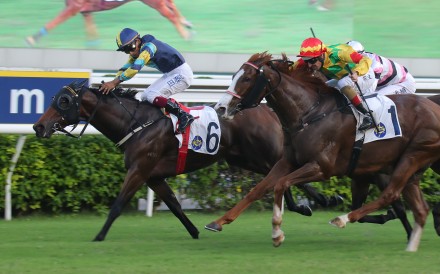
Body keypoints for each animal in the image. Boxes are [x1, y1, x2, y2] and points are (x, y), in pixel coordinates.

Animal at [24, 0, 193, 46]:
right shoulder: (86, 11)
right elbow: (91, 29)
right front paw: (93, 44)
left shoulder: (74, 7)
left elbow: (53, 23)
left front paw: (32, 38)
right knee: (171, 5)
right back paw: (187, 23)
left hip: (154, 2)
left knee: (170, 14)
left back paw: (185, 34)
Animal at [206, 52, 440, 252]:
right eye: (234, 76)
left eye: (246, 79)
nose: (220, 108)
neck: (309, 113)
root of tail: (434, 106)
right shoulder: (287, 161)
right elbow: (258, 189)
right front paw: (218, 222)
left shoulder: (321, 167)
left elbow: (281, 184)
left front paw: (277, 232)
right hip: (406, 168)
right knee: (419, 208)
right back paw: (411, 243)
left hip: (412, 156)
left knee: (391, 195)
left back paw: (343, 219)